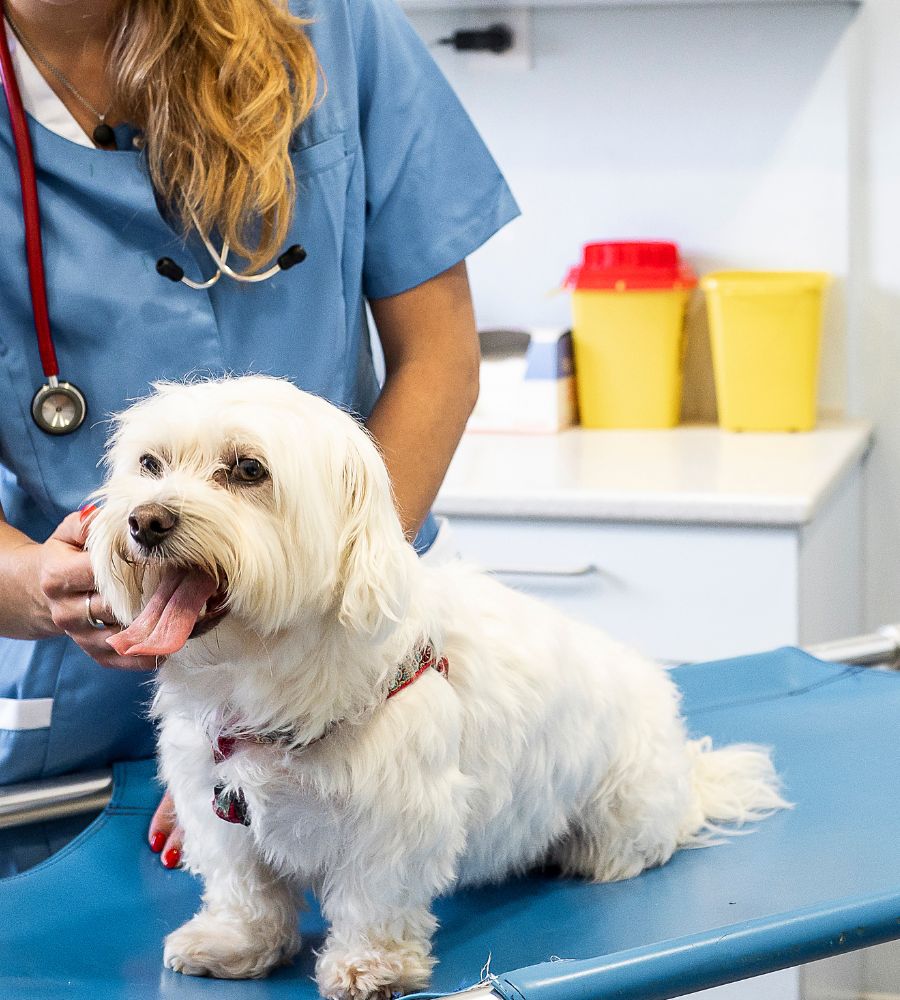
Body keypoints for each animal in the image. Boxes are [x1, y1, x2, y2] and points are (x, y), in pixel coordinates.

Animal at [88, 376, 784, 1000]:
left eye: (248, 469)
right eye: (149, 465)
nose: (146, 520)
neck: (266, 671)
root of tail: (687, 767)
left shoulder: (397, 813)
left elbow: (374, 897)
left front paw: (368, 968)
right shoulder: (215, 797)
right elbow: (244, 888)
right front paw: (235, 944)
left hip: (624, 799)